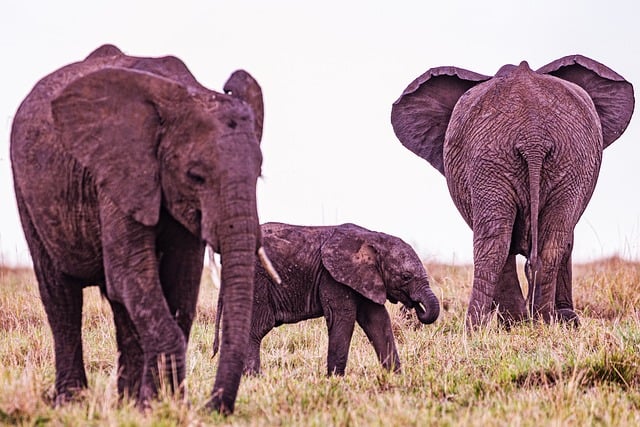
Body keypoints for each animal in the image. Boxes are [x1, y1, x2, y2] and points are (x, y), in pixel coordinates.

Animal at [10, 44, 278, 414]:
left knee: (119, 303)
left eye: (259, 175)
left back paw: (124, 401)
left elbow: (180, 285)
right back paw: (70, 401)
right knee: (61, 294)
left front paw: (161, 404)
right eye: (195, 176)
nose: (213, 406)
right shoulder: (118, 173)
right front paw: (157, 407)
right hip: (27, 191)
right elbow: (132, 274)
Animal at [215, 224, 440, 378]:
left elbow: (377, 320)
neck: (373, 237)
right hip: (257, 281)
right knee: (257, 327)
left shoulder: (363, 278)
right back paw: (254, 377)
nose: (415, 307)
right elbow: (343, 318)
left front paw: (397, 377)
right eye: (406, 277)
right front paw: (335, 380)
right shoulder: (332, 277)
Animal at [390, 56, 636, 332]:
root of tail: (533, 137)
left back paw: (490, 327)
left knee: (500, 243)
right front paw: (546, 321)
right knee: (536, 242)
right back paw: (532, 321)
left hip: (514, 158)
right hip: (545, 158)